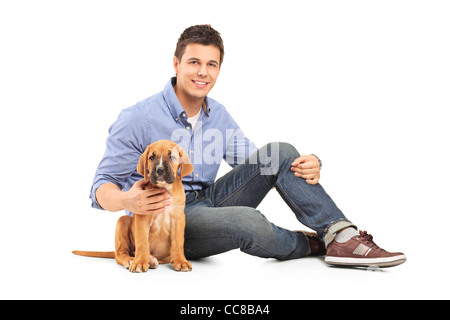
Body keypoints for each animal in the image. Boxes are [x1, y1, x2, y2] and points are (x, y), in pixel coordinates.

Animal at [73, 140, 194, 272]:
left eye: (172, 157)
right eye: (151, 157)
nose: (160, 170)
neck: (165, 188)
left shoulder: (178, 219)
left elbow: (178, 242)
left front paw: (180, 261)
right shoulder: (142, 217)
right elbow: (142, 242)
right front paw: (140, 262)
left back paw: (151, 259)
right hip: (123, 221)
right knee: (121, 253)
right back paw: (133, 260)